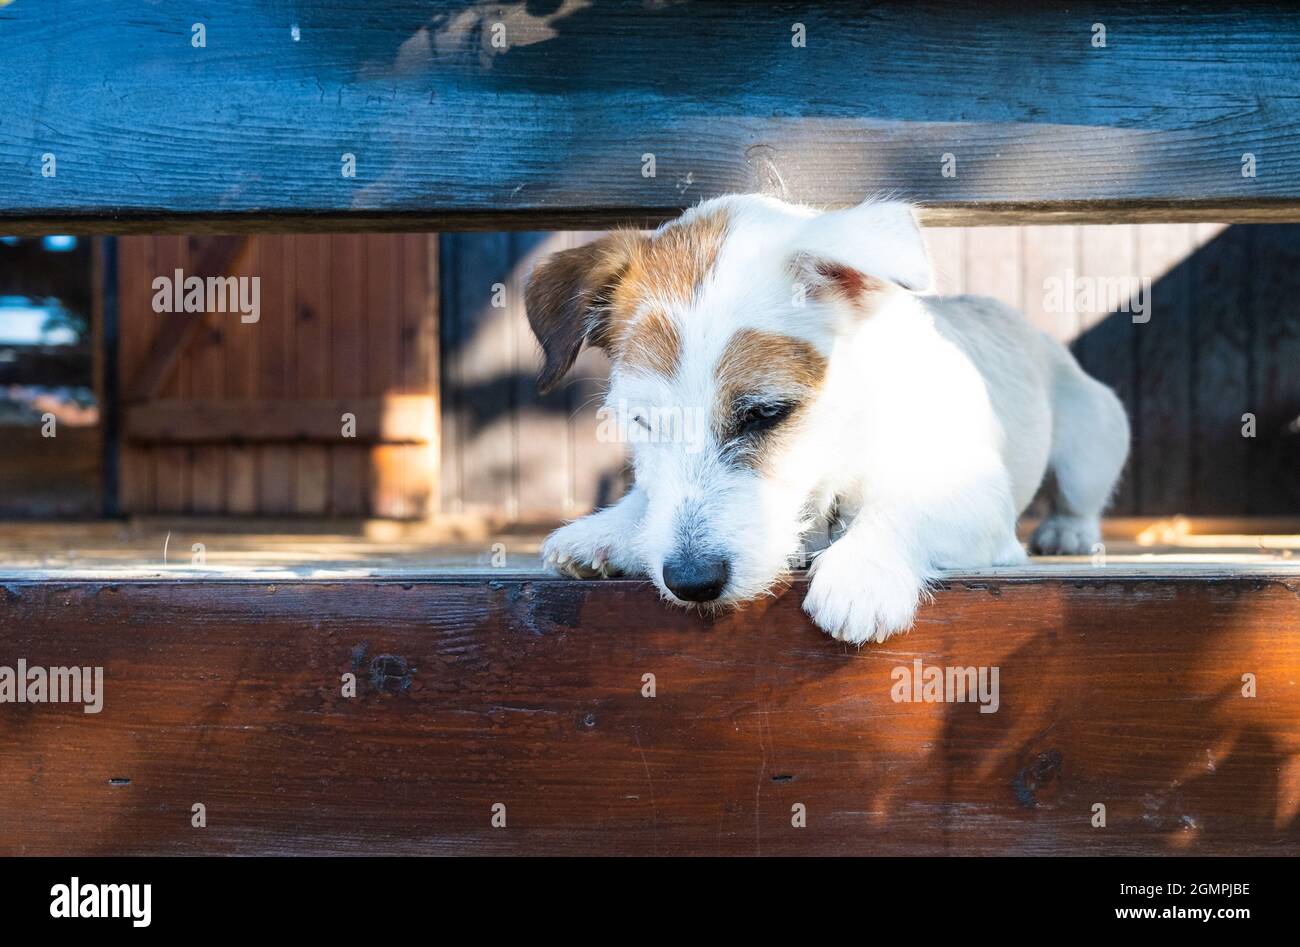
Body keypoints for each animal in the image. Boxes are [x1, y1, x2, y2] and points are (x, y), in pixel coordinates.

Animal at [522, 193, 1133, 642]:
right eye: (644, 423)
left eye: (765, 414)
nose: (692, 582)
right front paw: (610, 528)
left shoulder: (977, 499)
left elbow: (905, 508)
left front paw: (863, 569)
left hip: (1095, 439)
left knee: (1081, 496)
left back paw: (1069, 531)